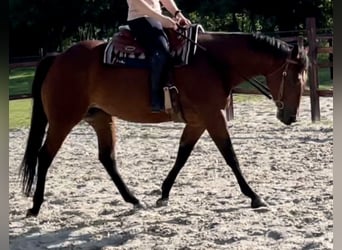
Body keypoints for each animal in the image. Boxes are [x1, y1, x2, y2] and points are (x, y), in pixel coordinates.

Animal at [18, 30, 308, 216]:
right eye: (295, 79)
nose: (290, 117)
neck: (215, 62)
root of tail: (58, 57)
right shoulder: (213, 116)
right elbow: (230, 156)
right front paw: (254, 196)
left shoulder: (199, 121)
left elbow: (182, 154)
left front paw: (164, 193)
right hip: (62, 120)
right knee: (44, 156)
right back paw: (35, 207)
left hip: (100, 118)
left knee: (107, 158)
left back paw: (133, 200)